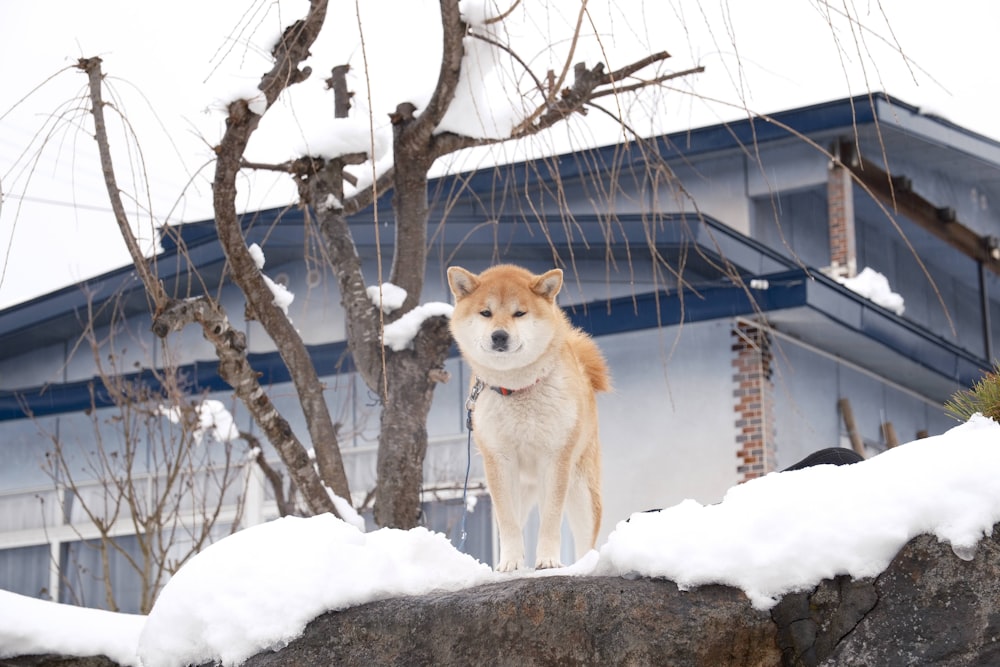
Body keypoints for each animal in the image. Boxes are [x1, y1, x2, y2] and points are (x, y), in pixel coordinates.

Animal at [448, 264, 608, 572]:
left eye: (519, 313)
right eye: (485, 313)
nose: (499, 335)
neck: (517, 388)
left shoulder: (556, 457)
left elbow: (551, 519)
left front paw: (548, 560)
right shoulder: (499, 459)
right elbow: (508, 524)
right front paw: (510, 562)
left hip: (580, 487)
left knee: (585, 537)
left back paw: (584, 564)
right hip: (523, 487)